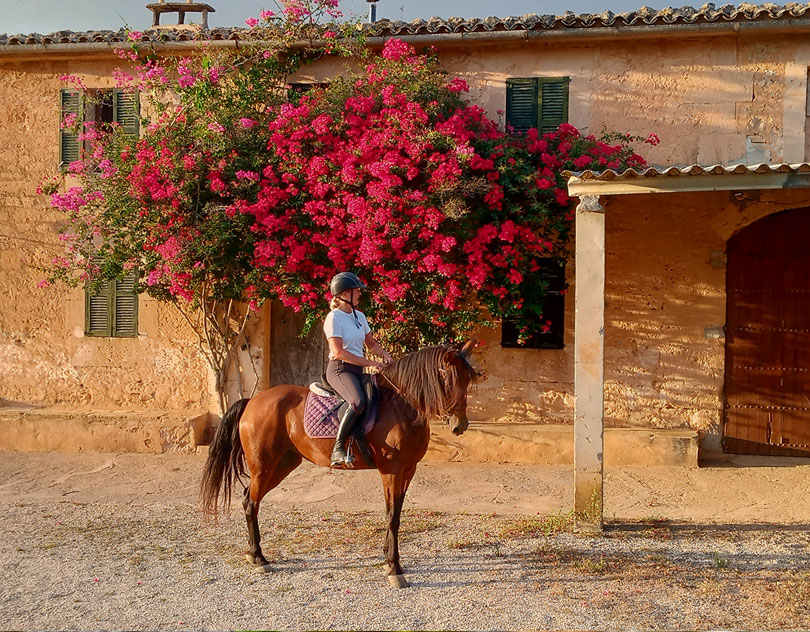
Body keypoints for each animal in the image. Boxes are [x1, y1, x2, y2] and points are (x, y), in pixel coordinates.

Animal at [200, 340, 478, 588]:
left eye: (467, 380)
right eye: (451, 379)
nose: (460, 425)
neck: (401, 405)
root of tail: (253, 401)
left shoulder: (408, 470)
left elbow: (396, 514)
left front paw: (388, 560)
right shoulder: (392, 471)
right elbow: (391, 516)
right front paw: (395, 569)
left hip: (282, 465)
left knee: (250, 498)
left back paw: (254, 554)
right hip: (263, 465)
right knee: (251, 503)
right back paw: (259, 558)